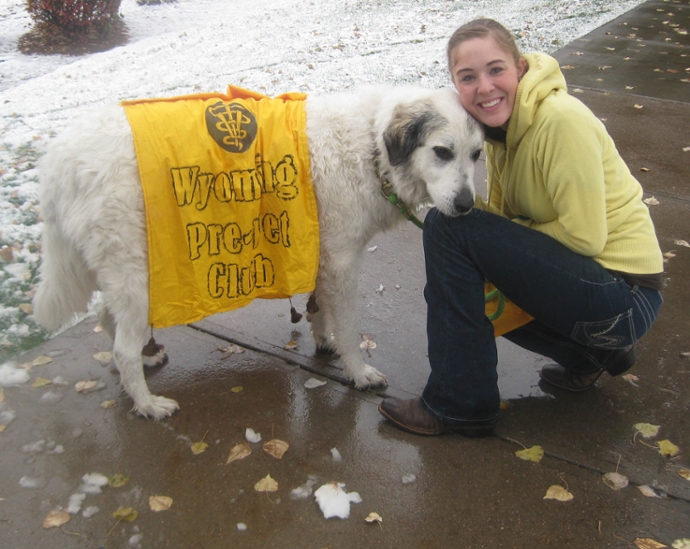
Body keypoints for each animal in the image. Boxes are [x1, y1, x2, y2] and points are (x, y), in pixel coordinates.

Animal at [32, 85, 482, 418]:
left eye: (476, 154)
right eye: (442, 152)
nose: (466, 206)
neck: (370, 146)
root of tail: (58, 160)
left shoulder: (321, 253)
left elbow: (319, 307)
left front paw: (324, 341)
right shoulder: (343, 261)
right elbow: (350, 328)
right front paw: (357, 372)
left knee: (107, 322)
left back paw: (142, 371)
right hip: (135, 275)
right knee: (121, 347)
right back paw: (148, 404)